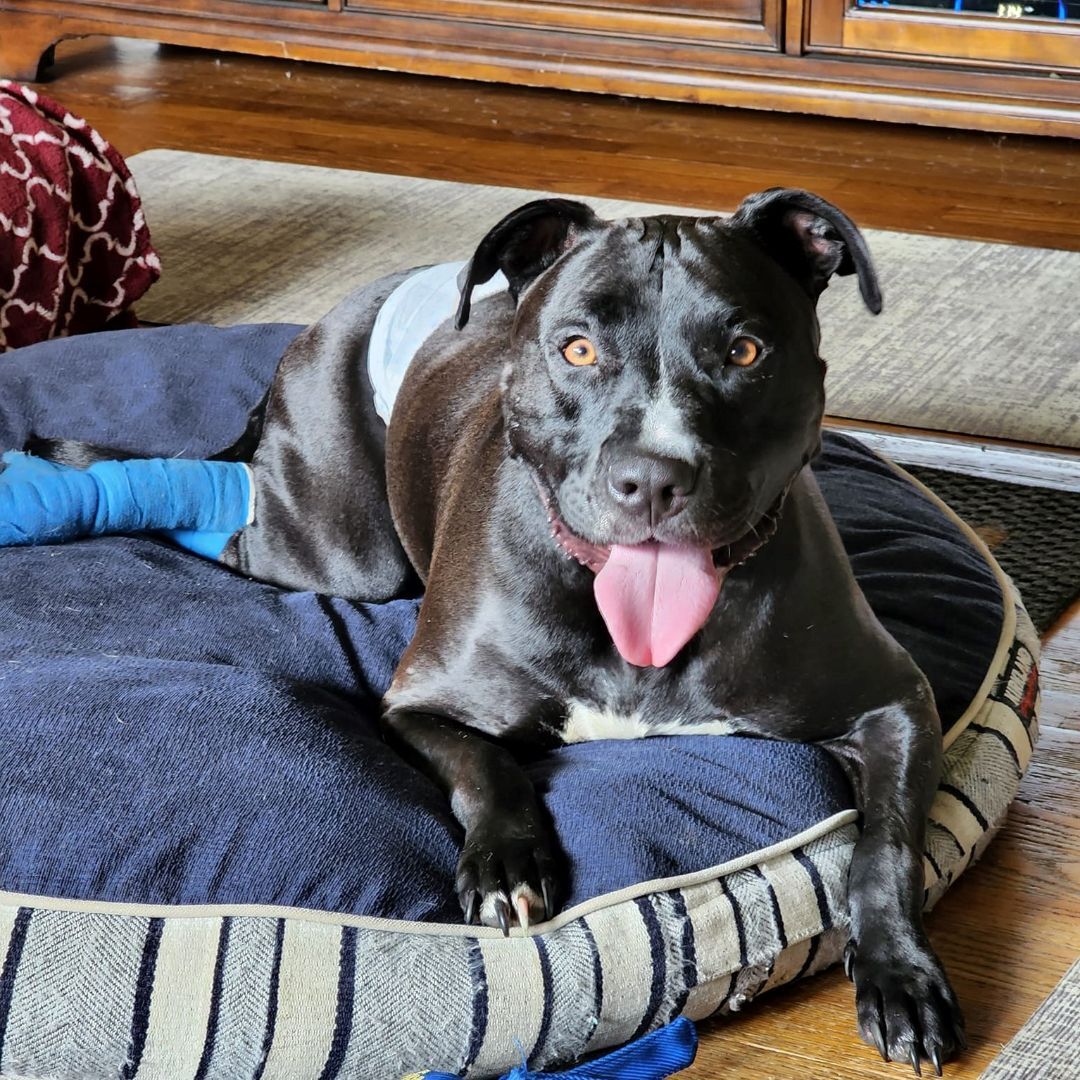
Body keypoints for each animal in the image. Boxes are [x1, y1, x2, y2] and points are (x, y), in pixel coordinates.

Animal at [44, 190, 972, 1067]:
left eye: (744, 352)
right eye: (577, 349)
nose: (651, 478)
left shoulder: (896, 702)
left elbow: (886, 847)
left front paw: (899, 977)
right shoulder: (420, 704)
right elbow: (486, 767)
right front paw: (507, 863)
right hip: (336, 549)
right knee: (220, 510)